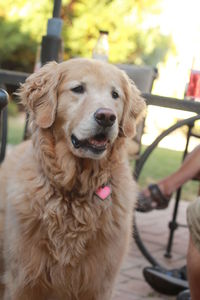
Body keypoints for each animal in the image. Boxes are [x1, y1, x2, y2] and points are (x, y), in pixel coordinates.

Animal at [0, 57, 145, 298]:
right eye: (78, 89)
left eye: (115, 95)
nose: (107, 117)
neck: (74, 192)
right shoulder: (22, 281)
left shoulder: (100, 283)